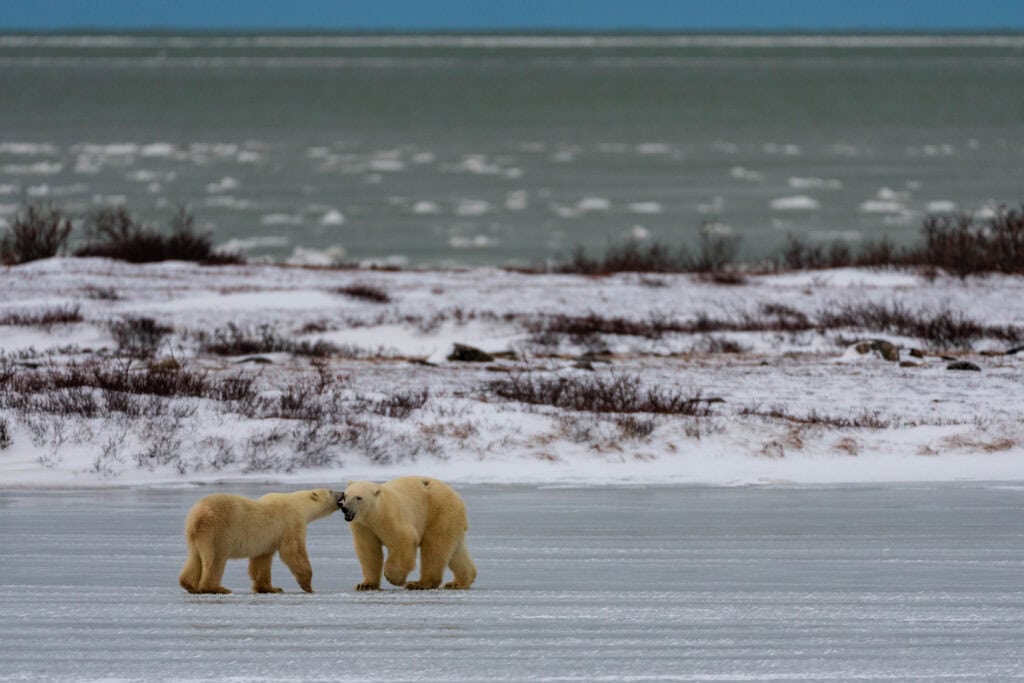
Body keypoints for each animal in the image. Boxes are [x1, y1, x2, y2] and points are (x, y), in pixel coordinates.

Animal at [178, 488, 343, 594]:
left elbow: (261, 561)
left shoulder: (265, 541)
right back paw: (217, 588)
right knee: (216, 559)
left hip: (194, 536)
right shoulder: (291, 523)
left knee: (195, 558)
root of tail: (198, 515)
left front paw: (271, 588)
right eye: (330, 491)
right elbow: (294, 551)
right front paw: (308, 586)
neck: (299, 504)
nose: (342, 492)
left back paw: (189, 585)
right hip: (218, 531)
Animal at [341, 476, 477, 591]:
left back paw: (419, 583)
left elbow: (404, 539)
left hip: (440, 513)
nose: (344, 508)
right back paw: (457, 583)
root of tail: (458, 498)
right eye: (345, 495)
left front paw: (395, 579)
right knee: (455, 551)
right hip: (452, 521)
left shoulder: (390, 517)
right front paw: (365, 585)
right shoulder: (362, 526)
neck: (374, 514)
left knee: (434, 547)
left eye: (358, 497)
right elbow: (368, 550)